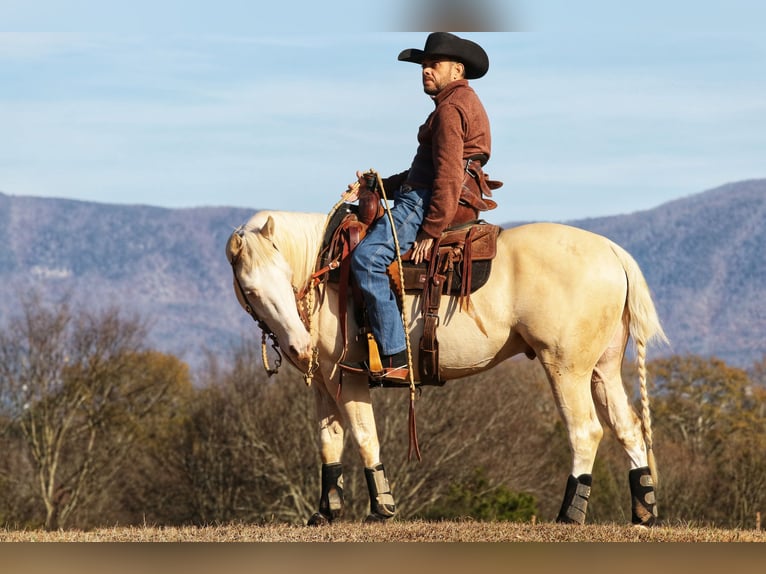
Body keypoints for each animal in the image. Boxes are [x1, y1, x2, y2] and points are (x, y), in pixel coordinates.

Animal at [225, 210, 668, 528]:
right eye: (251, 290)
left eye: (285, 275)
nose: (298, 346)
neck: (331, 271)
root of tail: (612, 251)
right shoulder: (322, 382)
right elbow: (329, 443)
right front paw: (326, 513)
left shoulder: (346, 377)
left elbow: (365, 437)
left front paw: (381, 508)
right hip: (602, 370)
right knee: (628, 428)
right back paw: (643, 513)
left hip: (566, 368)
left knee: (585, 431)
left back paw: (569, 514)